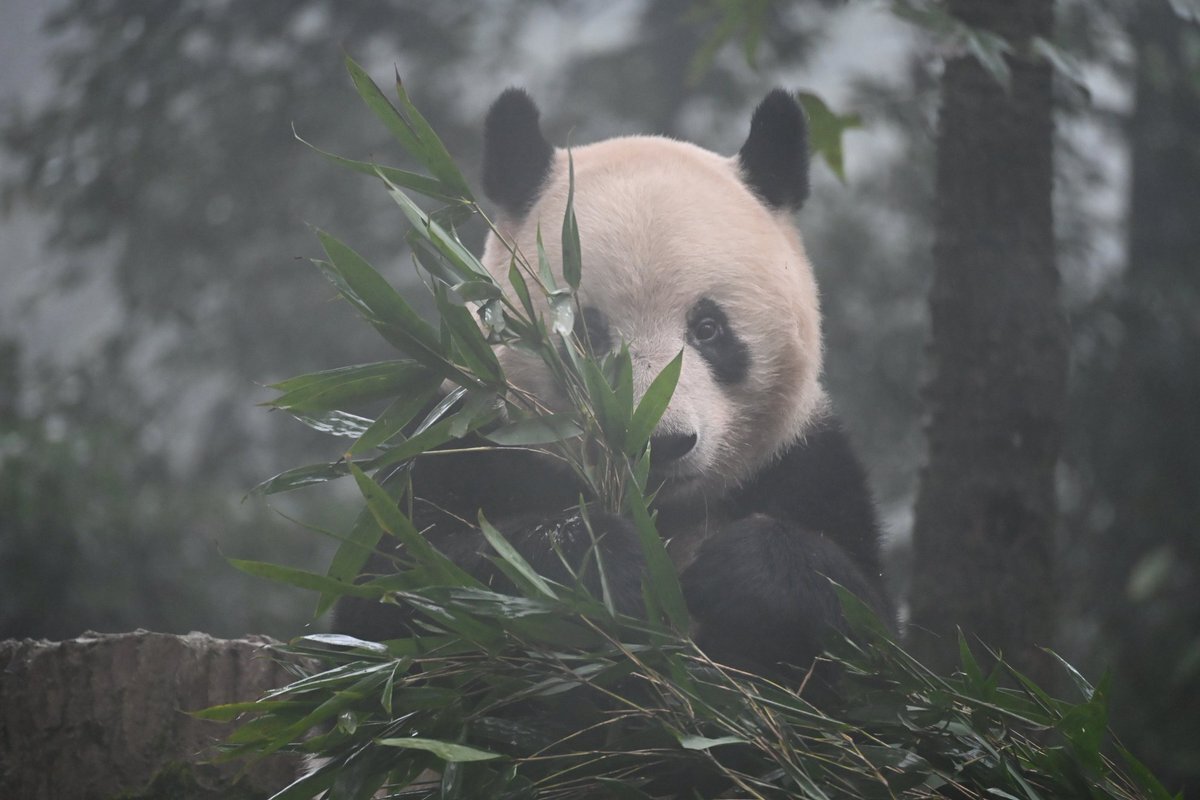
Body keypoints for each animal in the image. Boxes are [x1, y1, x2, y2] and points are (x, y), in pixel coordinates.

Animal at [335, 88, 891, 682]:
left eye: (708, 329)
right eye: (585, 332)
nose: (659, 442)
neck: (658, 512)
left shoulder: (804, 464)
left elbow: (871, 631)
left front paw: (741, 570)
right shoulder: (456, 445)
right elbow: (397, 599)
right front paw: (602, 562)